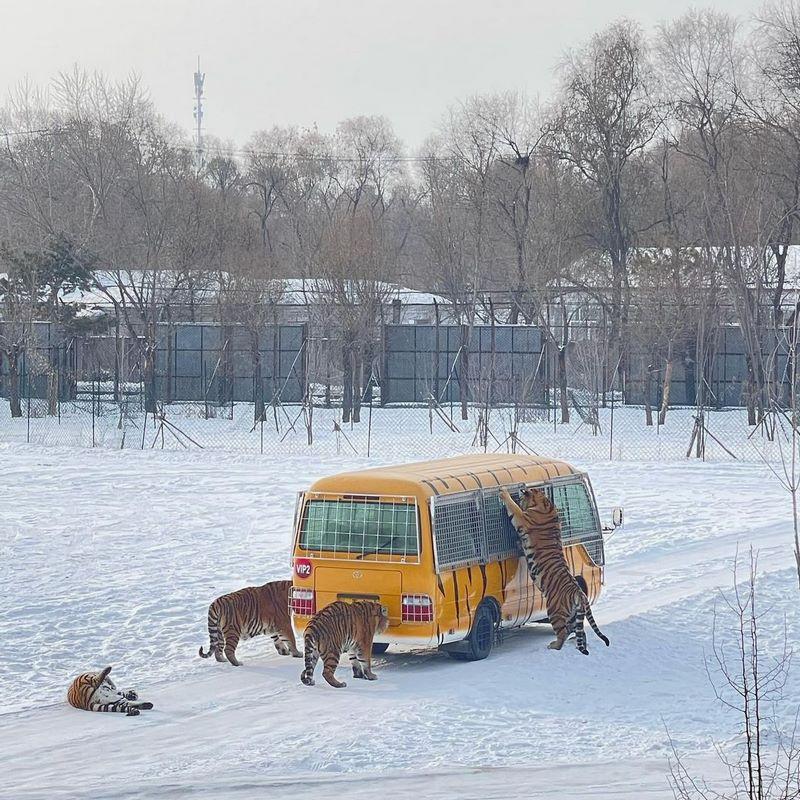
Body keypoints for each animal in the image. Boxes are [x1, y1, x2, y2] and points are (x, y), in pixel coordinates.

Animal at [496, 488, 608, 656]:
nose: (520, 495)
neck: (545, 504)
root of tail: (579, 593)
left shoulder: (522, 518)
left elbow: (513, 507)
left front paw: (504, 492)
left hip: (554, 611)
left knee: (562, 633)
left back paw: (554, 646)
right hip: (573, 616)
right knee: (579, 631)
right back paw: (577, 645)